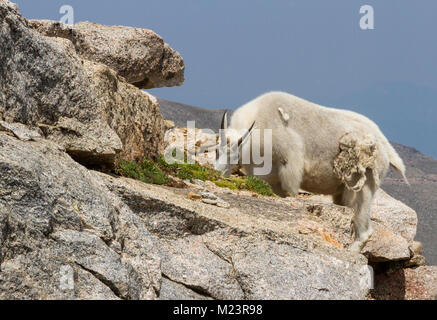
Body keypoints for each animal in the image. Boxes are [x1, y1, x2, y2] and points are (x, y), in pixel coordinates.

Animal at [213, 91, 408, 251]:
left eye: (234, 155)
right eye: (216, 151)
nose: (217, 173)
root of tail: (385, 148)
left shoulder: (289, 169)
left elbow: (290, 192)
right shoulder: (269, 178)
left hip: (364, 187)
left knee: (364, 230)